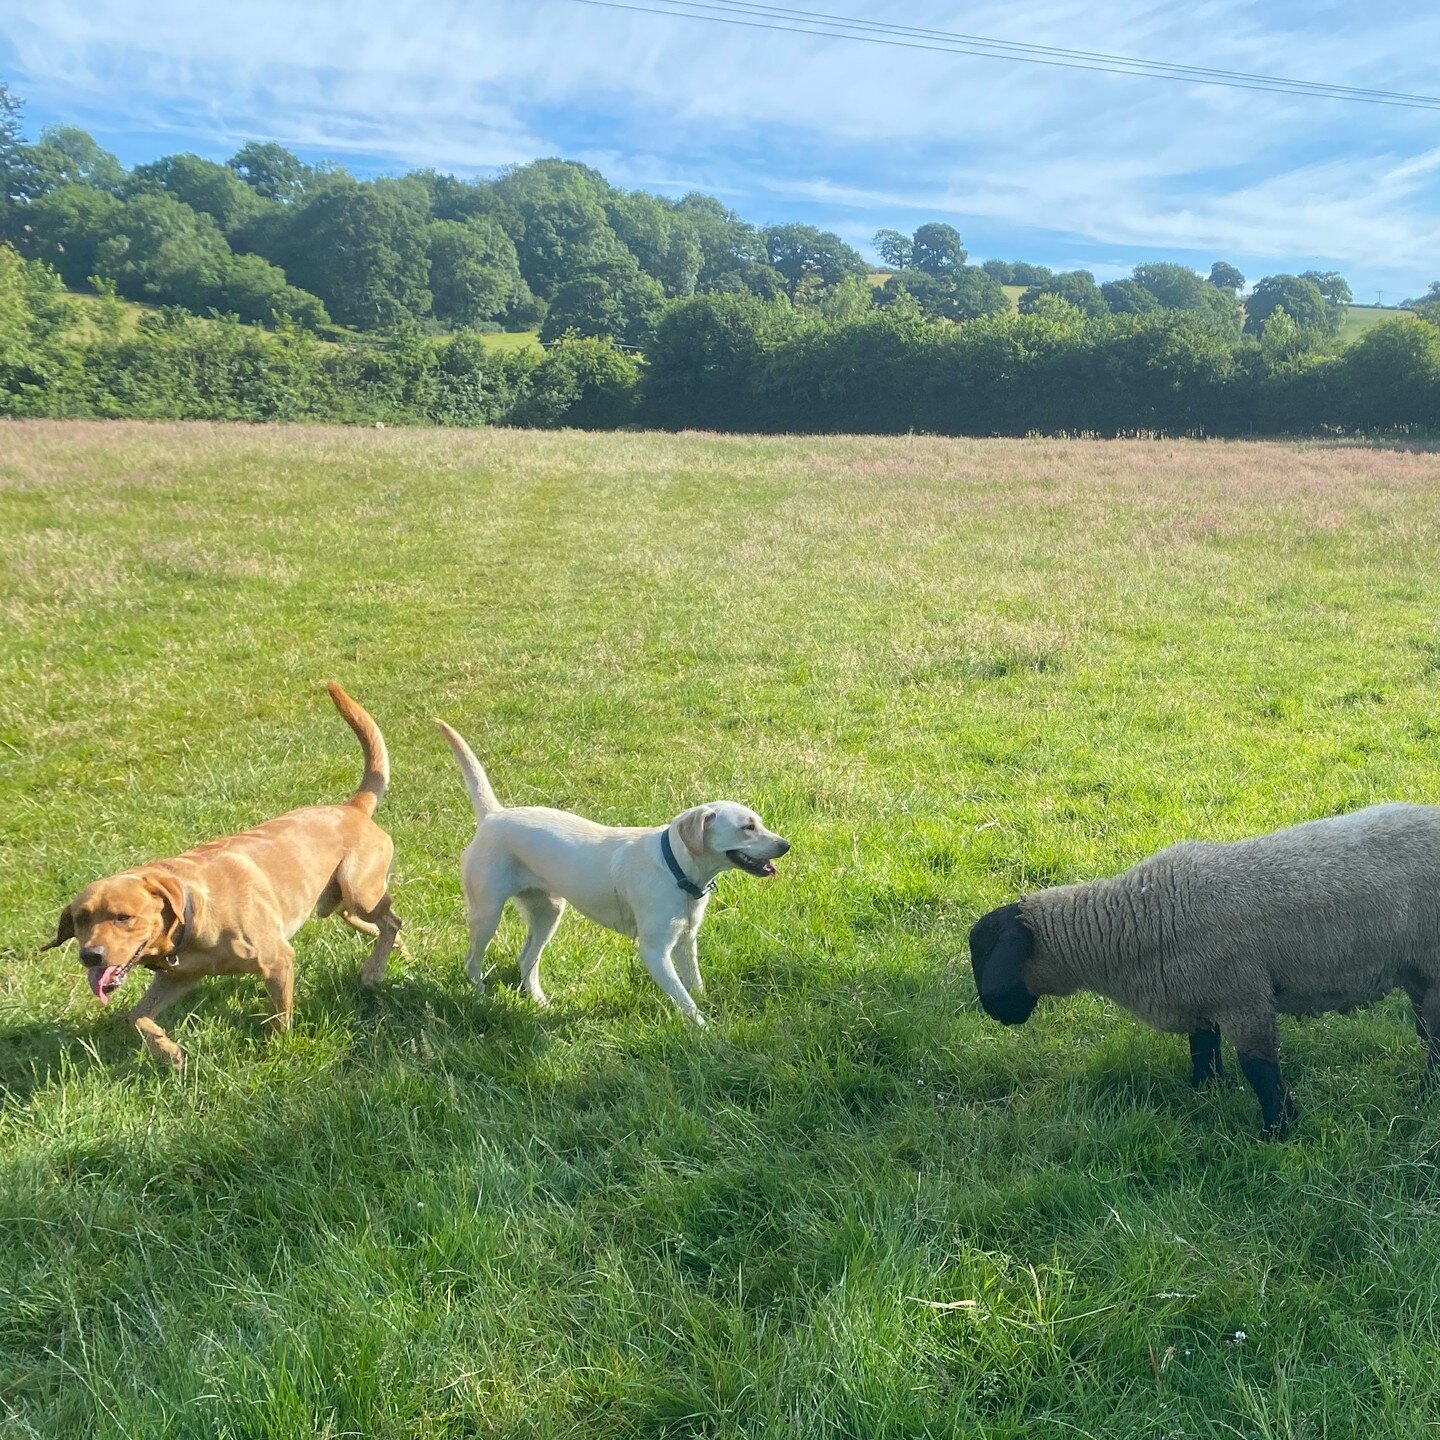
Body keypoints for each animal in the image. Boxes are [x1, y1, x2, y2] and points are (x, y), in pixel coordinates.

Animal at [45, 685, 403, 1071]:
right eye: (80, 920)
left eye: (123, 917)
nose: (90, 956)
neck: (192, 910)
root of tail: (352, 807)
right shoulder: (180, 975)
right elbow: (137, 1016)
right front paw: (169, 1053)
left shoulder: (277, 960)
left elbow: (279, 1019)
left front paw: (278, 1051)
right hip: (339, 902)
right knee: (380, 923)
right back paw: (389, 955)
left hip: (358, 889)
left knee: (391, 920)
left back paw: (373, 970)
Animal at [434, 720, 789, 1025]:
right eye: (747, 827)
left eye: (759, 822)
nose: (786, 845)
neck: (675, 868)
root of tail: (494, 815)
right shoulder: (655, 951)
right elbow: (685, 1000)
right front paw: (706, 1032)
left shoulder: (686, 940)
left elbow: (696, 986)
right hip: (487, 914)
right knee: (473, 963)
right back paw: (480, 999)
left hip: (549, 911)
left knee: (527, 959)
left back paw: (540, 1002)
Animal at [967, 800, 1440, 1134]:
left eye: (988, 956)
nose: (994, 1014)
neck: (1135, 919)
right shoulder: (1200, 993)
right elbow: (1203, 1048)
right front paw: (1204, 1092)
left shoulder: (1244, 997)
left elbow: (1260, 1070)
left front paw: (1277, 1132)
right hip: (1418, 971)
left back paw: (1426, 1095)